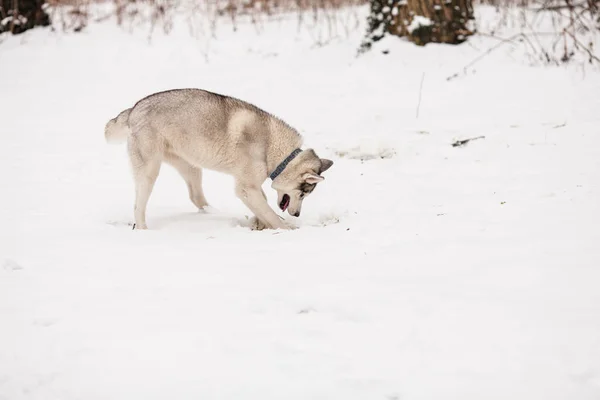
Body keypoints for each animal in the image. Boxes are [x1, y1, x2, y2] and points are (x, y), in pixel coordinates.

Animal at [103, 88, 332, 230]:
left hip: (191, 166)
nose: (297, 215)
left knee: (196, 196)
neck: (275, 150)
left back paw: (212, 213)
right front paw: (286, 227)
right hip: (150, 172)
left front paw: (261, 223)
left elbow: (264, 207)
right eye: (302, 194)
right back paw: (143, 229)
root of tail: (134, 109)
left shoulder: (251, 187)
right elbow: (271, 214)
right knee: (138, 206)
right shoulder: (246, 188)